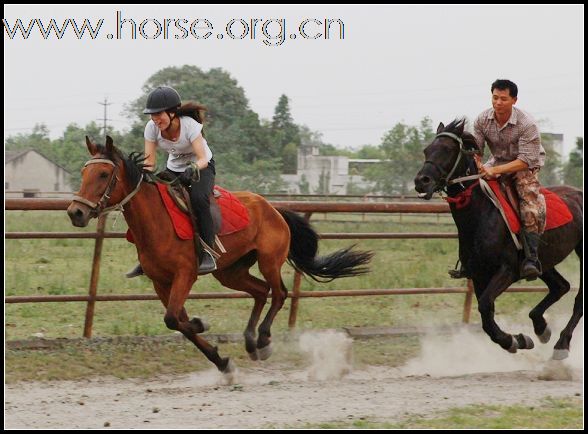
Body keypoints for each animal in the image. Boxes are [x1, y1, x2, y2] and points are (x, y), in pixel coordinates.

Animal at [66, 138, 372, 372]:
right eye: (84, 173)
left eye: (103, 175)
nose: (75, 212)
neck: (156, 222)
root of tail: (273, 209)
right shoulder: (160, 282)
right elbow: (178, 321)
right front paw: (218, 357)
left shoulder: (185, 275)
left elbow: (173, 319)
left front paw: (203, 329)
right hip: (230, 272)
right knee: (260, 291)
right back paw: (250, 342)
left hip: (269, 261)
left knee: (279, 293)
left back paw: (263, 341)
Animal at [414, 118, 584, 360]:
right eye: (427, 150)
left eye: (448, 150)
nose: (422, 181)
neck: (481, 217)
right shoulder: (478, 275)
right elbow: (486, 316)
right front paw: (517, 340)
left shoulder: (507, 271)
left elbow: (485, 306)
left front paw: (513, 340)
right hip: (543, 261)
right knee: (560, 286)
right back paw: (541, 327)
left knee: (578, 299)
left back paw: (562, 344)